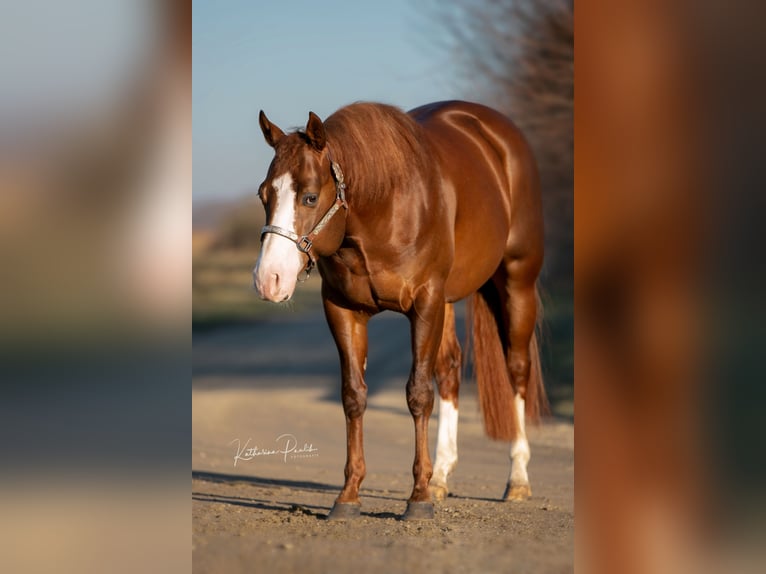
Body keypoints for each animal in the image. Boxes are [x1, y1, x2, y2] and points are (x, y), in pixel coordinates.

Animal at [255, 100, 548, 520]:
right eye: (264, 195)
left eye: (309, 197)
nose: (269, 280)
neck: (384, 206)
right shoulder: (343, 310)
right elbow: (354, 395)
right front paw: (349, 495)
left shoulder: (425, 303)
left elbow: (418, 394)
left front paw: (418, 498)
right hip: (449, 302)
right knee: (450, 370)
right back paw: (441, 474)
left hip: (516, 282)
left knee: (517, 371)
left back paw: (518, 478)